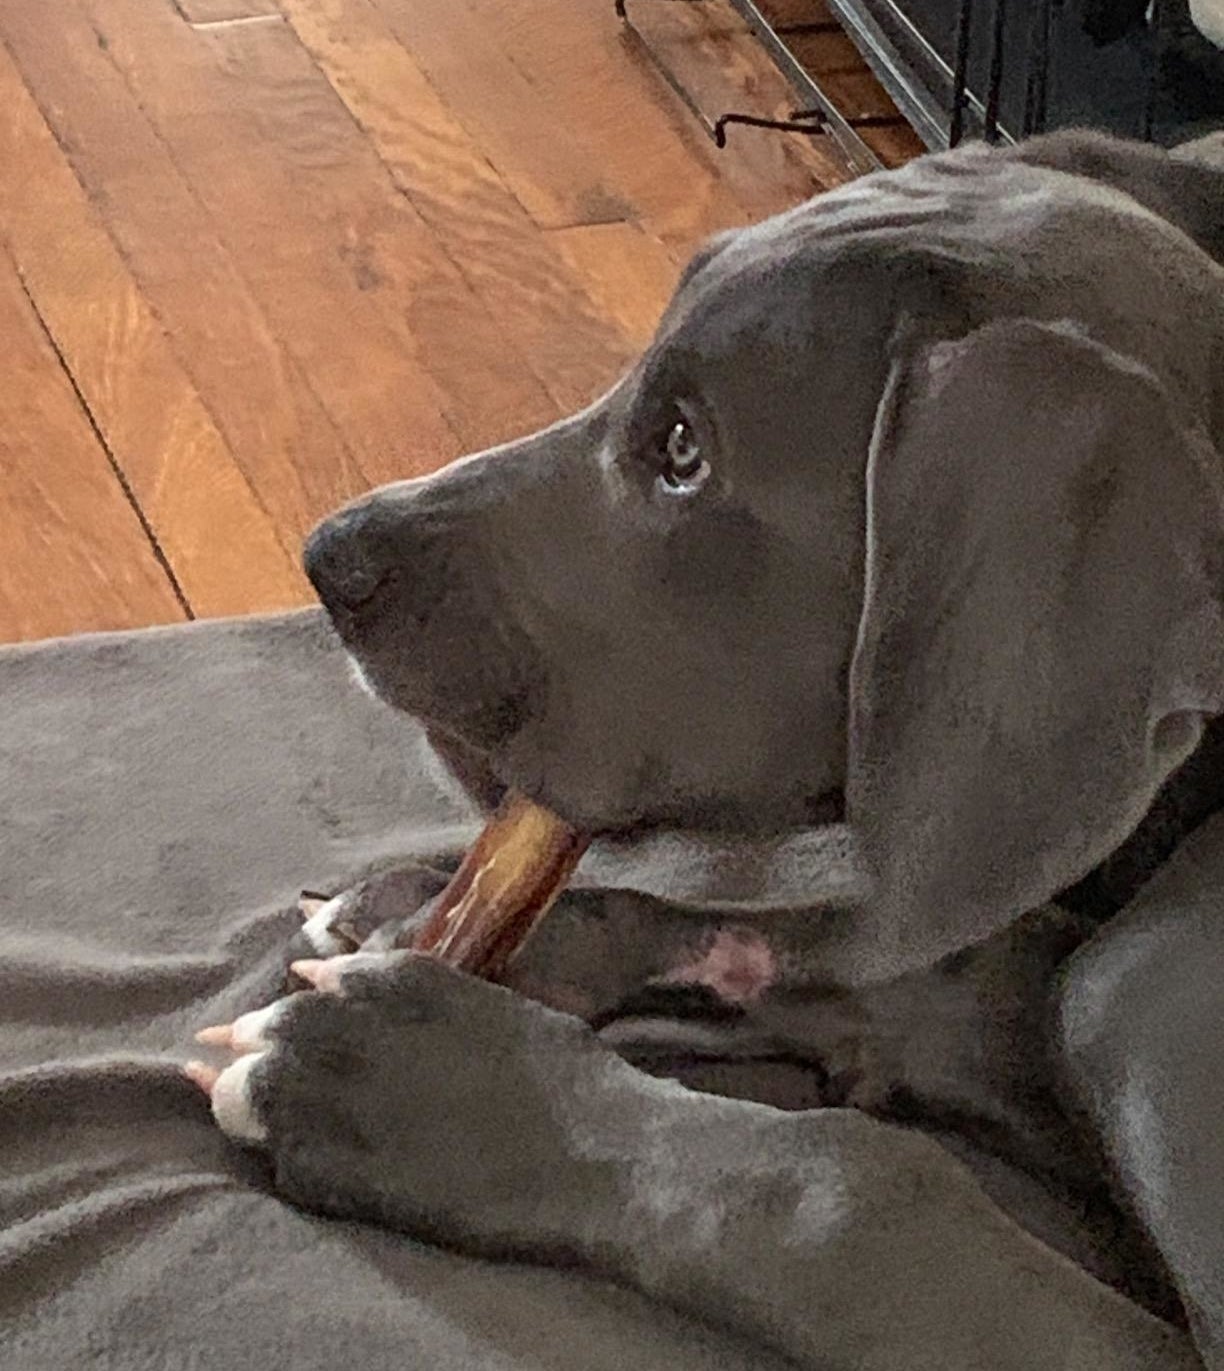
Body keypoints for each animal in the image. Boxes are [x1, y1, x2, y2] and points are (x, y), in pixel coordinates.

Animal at [186, 130, 1222, 1371]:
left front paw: (414, 1077)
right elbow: (880, 963)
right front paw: (428, 914)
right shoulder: (1032, 983)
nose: (328, 559)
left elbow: (848, 1182)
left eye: (684, 450)